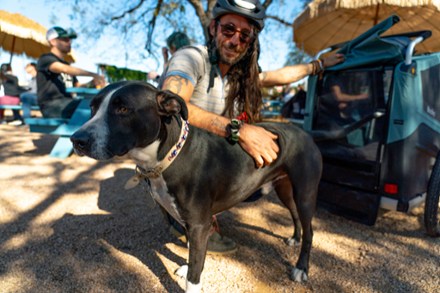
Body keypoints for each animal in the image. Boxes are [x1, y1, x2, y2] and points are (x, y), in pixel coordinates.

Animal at [70, 81, 322, 290]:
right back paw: (295, 238)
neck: (168, 157)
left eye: (123, 109)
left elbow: (194, 275)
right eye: (92, 108)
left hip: (306, 193)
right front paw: (187, 266)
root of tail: (304, 132)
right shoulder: (191, 223)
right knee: (295, 215)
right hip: (285, 189)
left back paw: (301, 268)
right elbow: (192, 254)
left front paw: (191, 277)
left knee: (310, 231)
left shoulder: (199, 224)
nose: (76, 140)